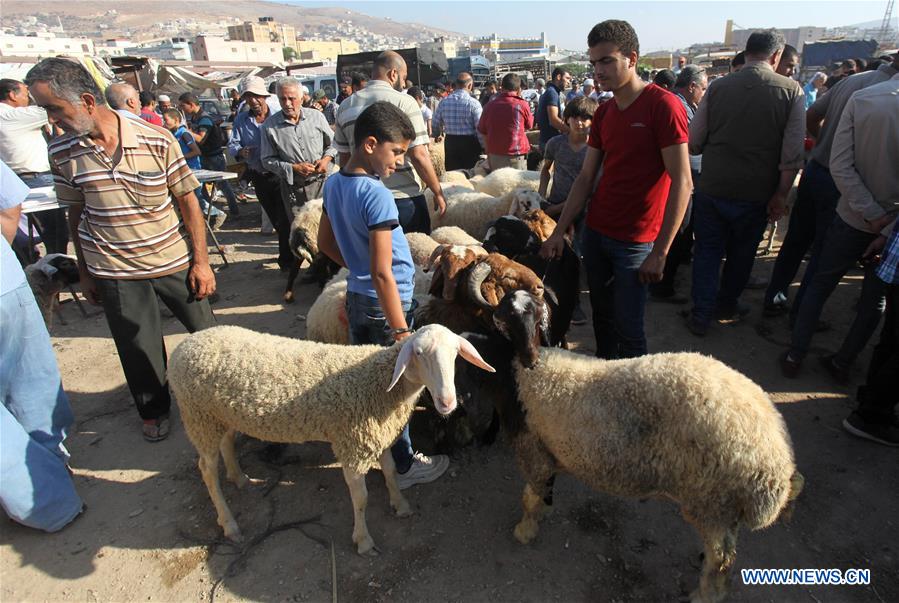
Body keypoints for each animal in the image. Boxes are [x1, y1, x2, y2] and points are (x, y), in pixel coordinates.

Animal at [165, 324, 496, 556]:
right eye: (419, 354)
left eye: (455, 355)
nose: (447, 402)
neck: (379, 385)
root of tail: (186, 344)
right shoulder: (352, 445)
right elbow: (361, 499)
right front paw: (363, 541)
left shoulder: (377, 437)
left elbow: (390, 472)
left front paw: (400, 505)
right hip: (197, 415)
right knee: (207, 470)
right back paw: (230, 523)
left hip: (218, 414)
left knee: (226, 443)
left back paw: (239, 477)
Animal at [460, 294, 804, 603]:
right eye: (502, 318)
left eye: (533, 317)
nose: (529, 357)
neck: (517, 376)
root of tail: (778, 467)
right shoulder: (546, 451)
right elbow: (545, 491)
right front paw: (544, 512)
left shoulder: (532, 451)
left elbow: (529, 497)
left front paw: (525, 531)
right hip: (723, 507)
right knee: (725, 552)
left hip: (709, 502)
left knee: (721, 559)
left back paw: (704, 596)